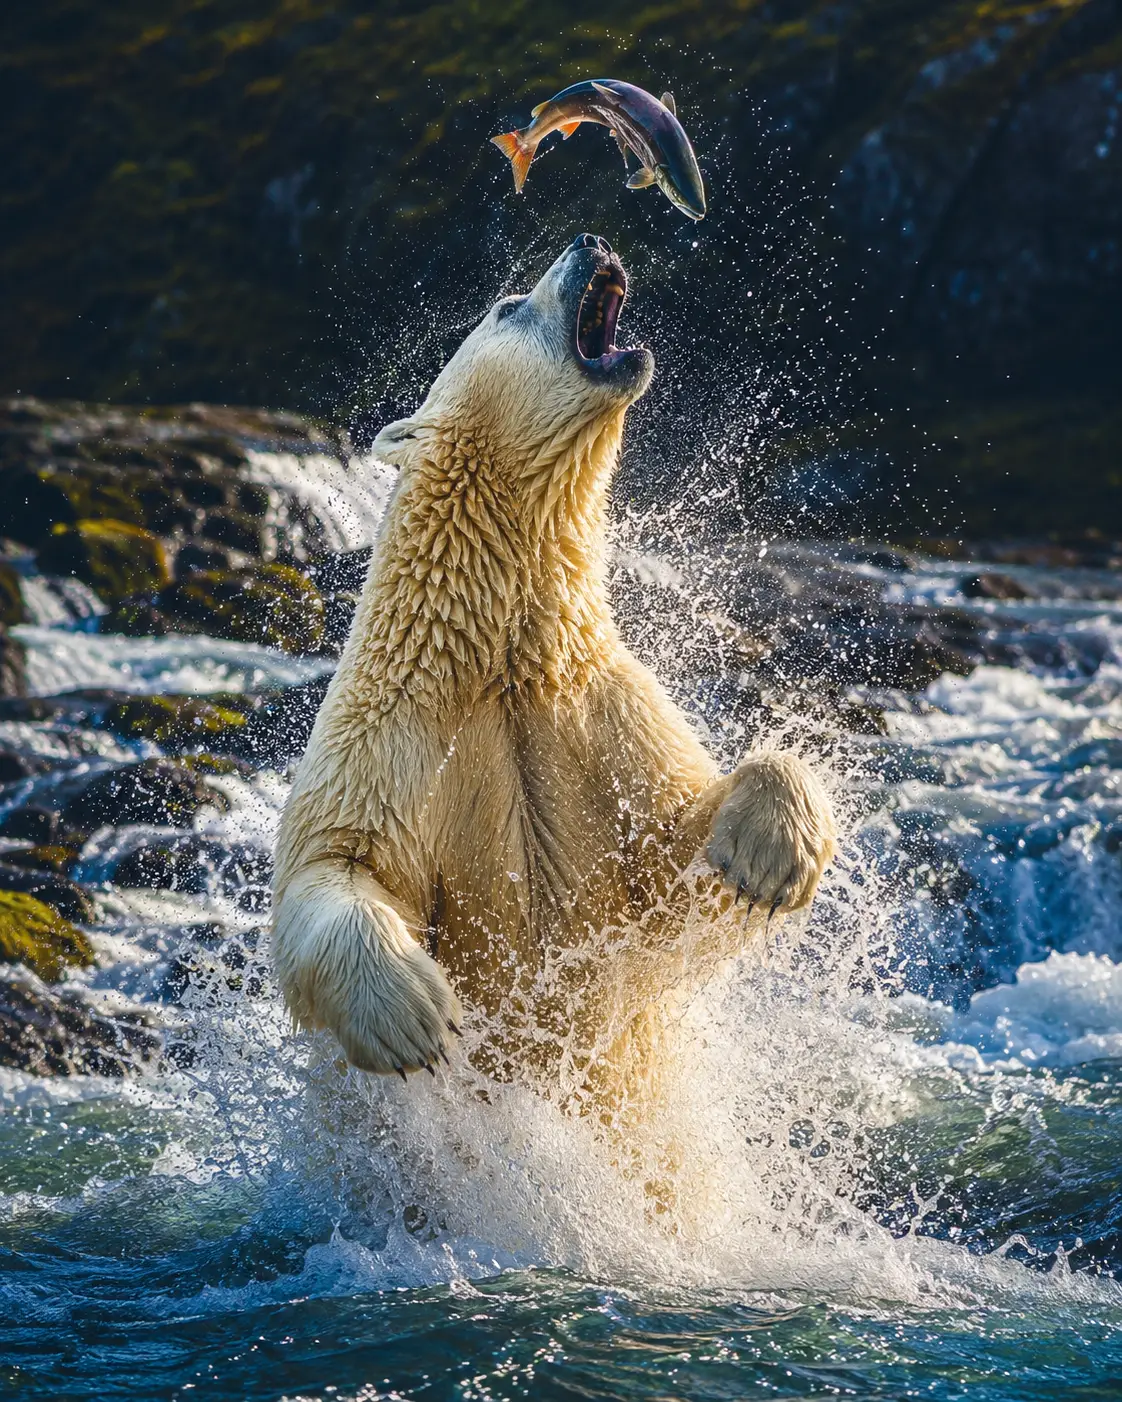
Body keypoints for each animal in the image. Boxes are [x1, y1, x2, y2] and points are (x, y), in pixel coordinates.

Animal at [272, 232, 836, 1110]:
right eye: (508, 306)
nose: (590, 240)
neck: (501, 663)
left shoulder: (602, 707)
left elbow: (676, 868)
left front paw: (767, 859)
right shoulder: (392, 729)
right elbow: (333, 863)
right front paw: (417, 1016)